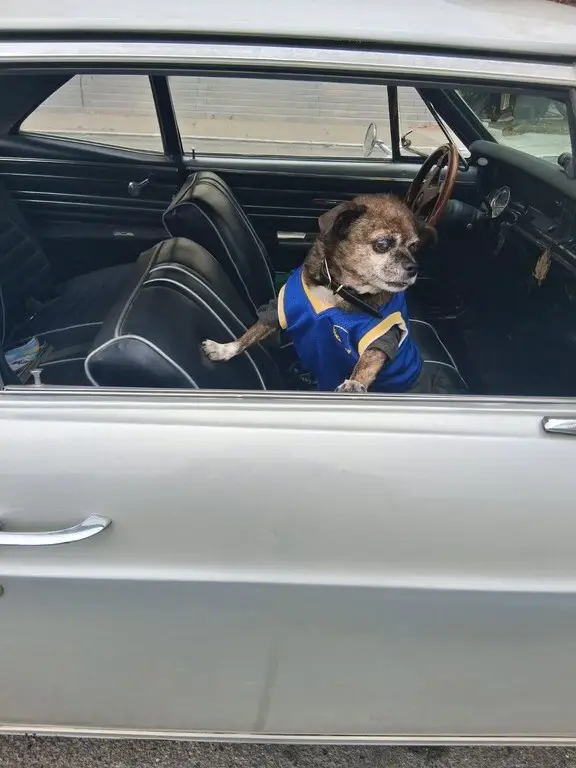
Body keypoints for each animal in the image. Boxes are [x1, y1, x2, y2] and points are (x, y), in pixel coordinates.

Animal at [202, 194, 435, 393]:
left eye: (414, 247)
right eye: (383, 244)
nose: (414, 268)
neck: (338, 289)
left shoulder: (381, 335)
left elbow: (367, 362)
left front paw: (354, 384)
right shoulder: (277, 311)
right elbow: (250, 334)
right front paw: (225, 349)